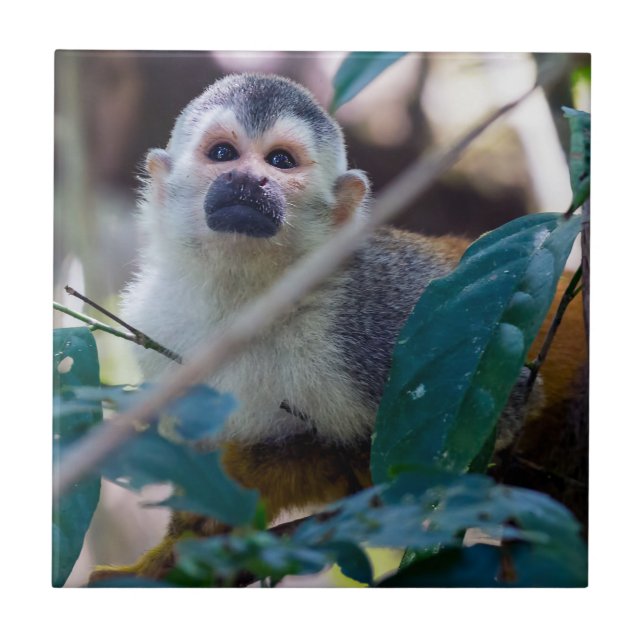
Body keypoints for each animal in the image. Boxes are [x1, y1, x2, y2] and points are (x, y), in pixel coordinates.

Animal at [91, 73, 587, 582]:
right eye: (223, 153)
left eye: (280, 161)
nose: (247, 179)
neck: (250, 300)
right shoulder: (159, 325)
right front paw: (176, 546)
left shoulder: (378, 311)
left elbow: (484, 428)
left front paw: (248, 477)